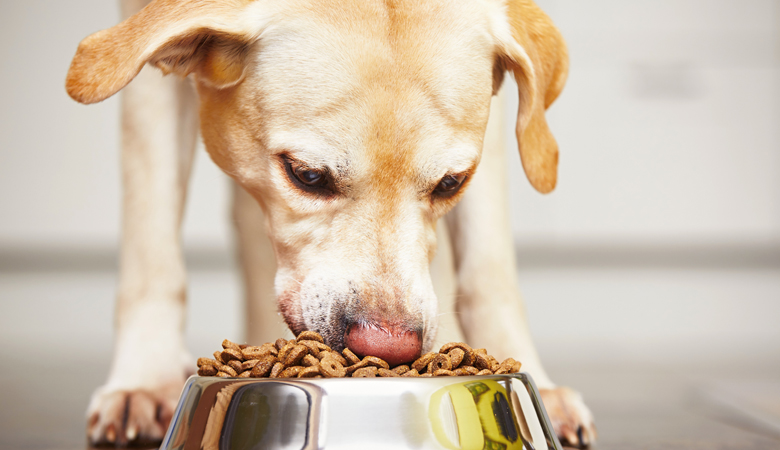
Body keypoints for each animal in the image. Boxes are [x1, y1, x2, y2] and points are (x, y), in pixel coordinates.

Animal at [68, 0, 596, 444]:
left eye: (451, 183)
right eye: (306, 175)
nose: (389, 348)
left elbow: (490, 267)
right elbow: (152, 246)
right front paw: (146, 380)